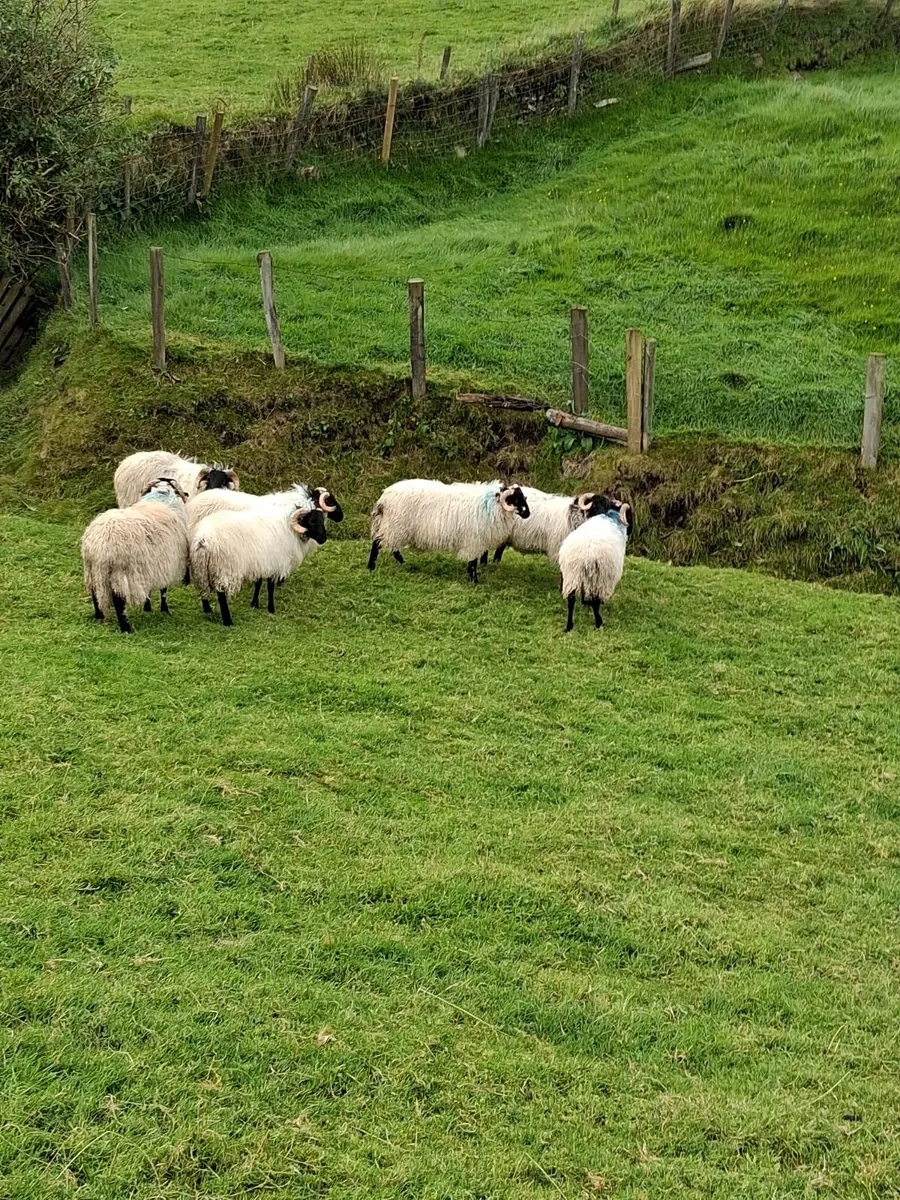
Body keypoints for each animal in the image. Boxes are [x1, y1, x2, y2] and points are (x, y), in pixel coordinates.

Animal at [81, 477, 189, 634]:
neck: (161, 498)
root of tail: (99, 546)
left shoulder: (150, 567)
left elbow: (148, 590)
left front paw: (147, 608)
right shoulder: (166, 564)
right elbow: (163, 590)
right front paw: (164, 610)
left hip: (93, 571)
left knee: (95, 594)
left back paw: (98, 616)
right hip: (119, 572)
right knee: (119, 602)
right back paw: (126, 628)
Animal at [190, 504, 327, 626]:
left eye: (322, 520)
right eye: (312, 522)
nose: (324, 539)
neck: (289, 530)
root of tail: (203, 539)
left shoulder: (260, 562)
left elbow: (258, 584)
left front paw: (254, 604)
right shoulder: (273, 563)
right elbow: (270, 588)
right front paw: (271, 609)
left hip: (200, 567)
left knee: (203, 589)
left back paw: (208, 610)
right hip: (224, 568)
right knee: (221, 595)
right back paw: (228, 621)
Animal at [367, 479, 530, 582]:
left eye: (524, 497)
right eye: (516, 499)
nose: (528, 514)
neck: (491, 504)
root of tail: (384, 498)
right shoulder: (474, 541)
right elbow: (473, 562)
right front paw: (474, 581)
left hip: (395, 528)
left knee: (392, 547)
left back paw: (401, 562)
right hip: (395, 526)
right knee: (377, 543)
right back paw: (372, 567)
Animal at [557, 501, 631, 632]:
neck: (611, 516)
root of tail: (587, 553)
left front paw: (584, 602)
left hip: (572, 574)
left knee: (571, 600)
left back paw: (569, 626)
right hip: (599, 576)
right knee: (595, 601)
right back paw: (599, 623)